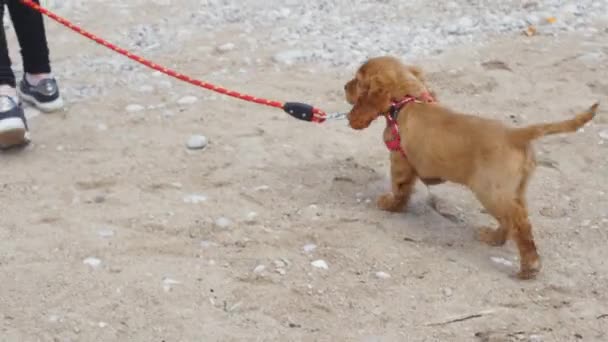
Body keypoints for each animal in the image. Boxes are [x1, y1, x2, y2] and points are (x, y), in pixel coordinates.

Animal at [344, 56, 600, 280]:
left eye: (357, 80)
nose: (344, 87)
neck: (408, 100)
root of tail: (515, 134)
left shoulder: (400, 161)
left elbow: (400, 188)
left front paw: (390, 205)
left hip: (491, 191)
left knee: (519, 223)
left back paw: (529, 267)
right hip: (514, 190)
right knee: (513, 220)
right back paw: (494, 238)